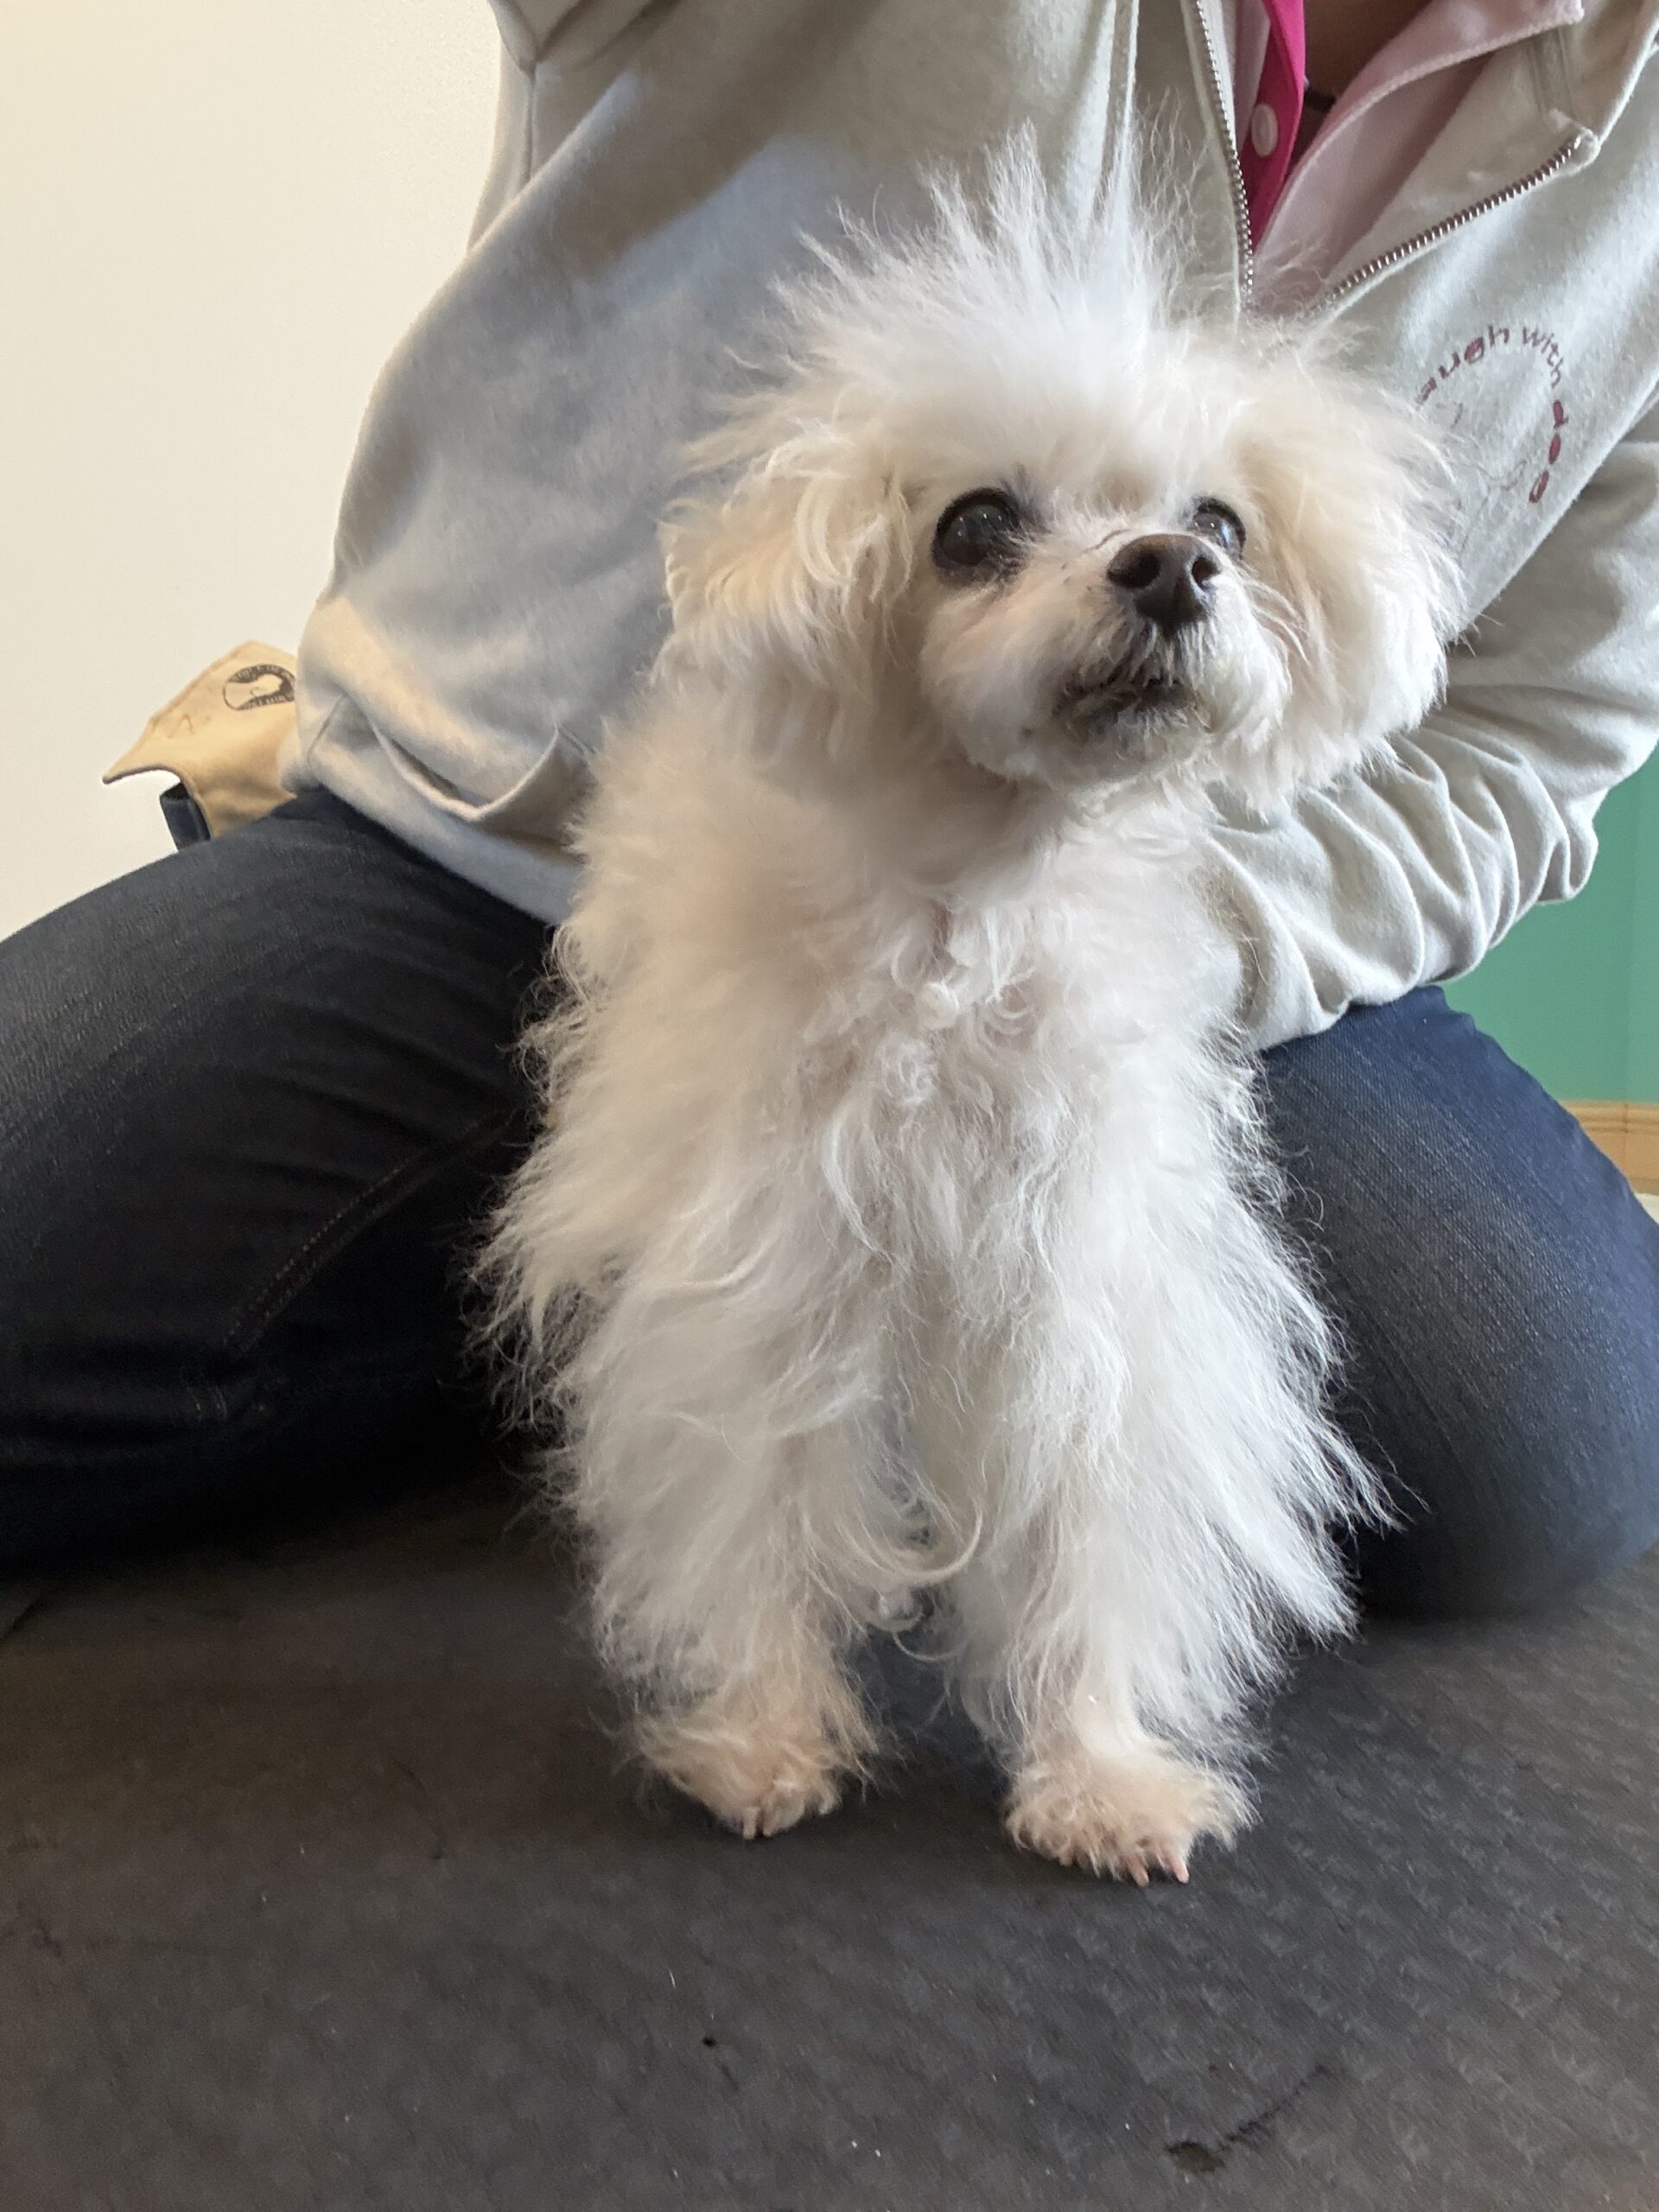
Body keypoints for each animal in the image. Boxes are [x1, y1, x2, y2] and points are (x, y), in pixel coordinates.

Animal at [484, 156, 1459, 1882]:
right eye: (976, 527)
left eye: (1224, 521)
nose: (1170, 569)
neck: (964, 929)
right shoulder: (768, 1270)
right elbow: (758, 1500)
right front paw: (763, 1739)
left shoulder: (1076, 1283)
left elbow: (1081, 1516)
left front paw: (1100, 1774)